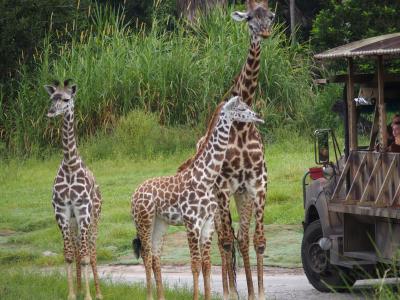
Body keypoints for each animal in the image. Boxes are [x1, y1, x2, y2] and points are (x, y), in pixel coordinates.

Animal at [45, 79, 103, 300]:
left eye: (66, 99)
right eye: (52, 97)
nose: (51, 111)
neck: (70, 164)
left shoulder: (83, 211)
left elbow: (86, 256)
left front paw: (88, 296)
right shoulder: (62, 212)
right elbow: (70, 255)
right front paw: (72, 294)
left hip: (94, 217)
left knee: (92, 250)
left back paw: (98, 292)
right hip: (73, 222)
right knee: (78, 248)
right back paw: (78, 288)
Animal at [130, 96, 262, 300]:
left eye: (247, 106)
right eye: (241, 108)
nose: (257, 116)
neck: (205, 178)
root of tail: (134, 194)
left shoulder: (207, 223)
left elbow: (206, 264)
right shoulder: (192, 223)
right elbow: (194, 264)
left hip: (160, 222)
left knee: (155, 257)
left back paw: (161, 297)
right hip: (144, 221)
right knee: (146, 255)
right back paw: (150, 296)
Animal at [181, 1, 276, 298]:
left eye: (270, 16)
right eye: (249, 18)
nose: (264, 33)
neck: (242, 128)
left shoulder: (257, 184)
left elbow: (256, 240)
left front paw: (258, 292)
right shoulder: (224, 187)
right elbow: (225, 241)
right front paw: (231, 292)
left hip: (240, 195)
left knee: (239, 238)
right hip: (215, 202)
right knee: (222, 240)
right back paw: (228, 288)